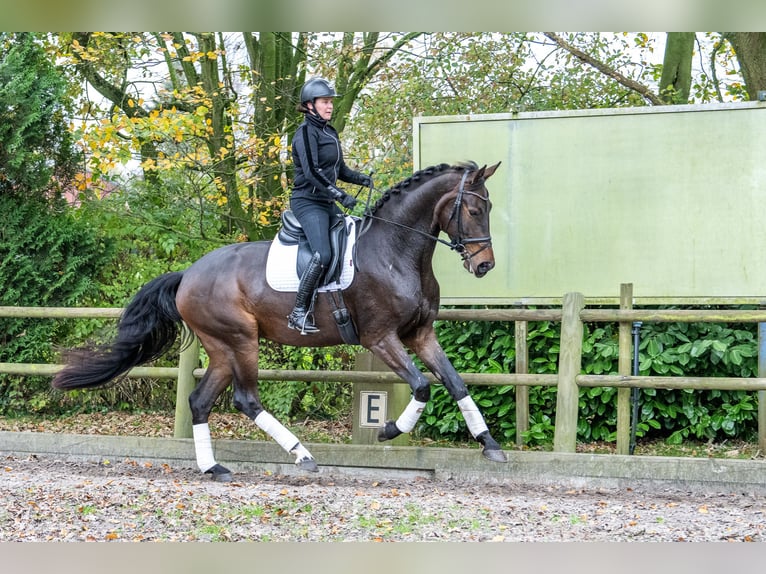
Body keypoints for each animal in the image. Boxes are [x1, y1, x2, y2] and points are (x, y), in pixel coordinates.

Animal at [55, 160, 510, 484]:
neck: (395, 251)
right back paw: (302, 455)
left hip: (222, 349)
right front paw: (388, 431)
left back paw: (213, 468)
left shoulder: (420, 334)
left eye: (488, 208)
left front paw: (490, 445)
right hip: (241, 340)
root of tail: (187, 275)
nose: (485, 265)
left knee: (201, 401)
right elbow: (421, 386)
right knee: (246, 399)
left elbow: (455, 383)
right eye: (473, 209)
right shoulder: (380, 337)